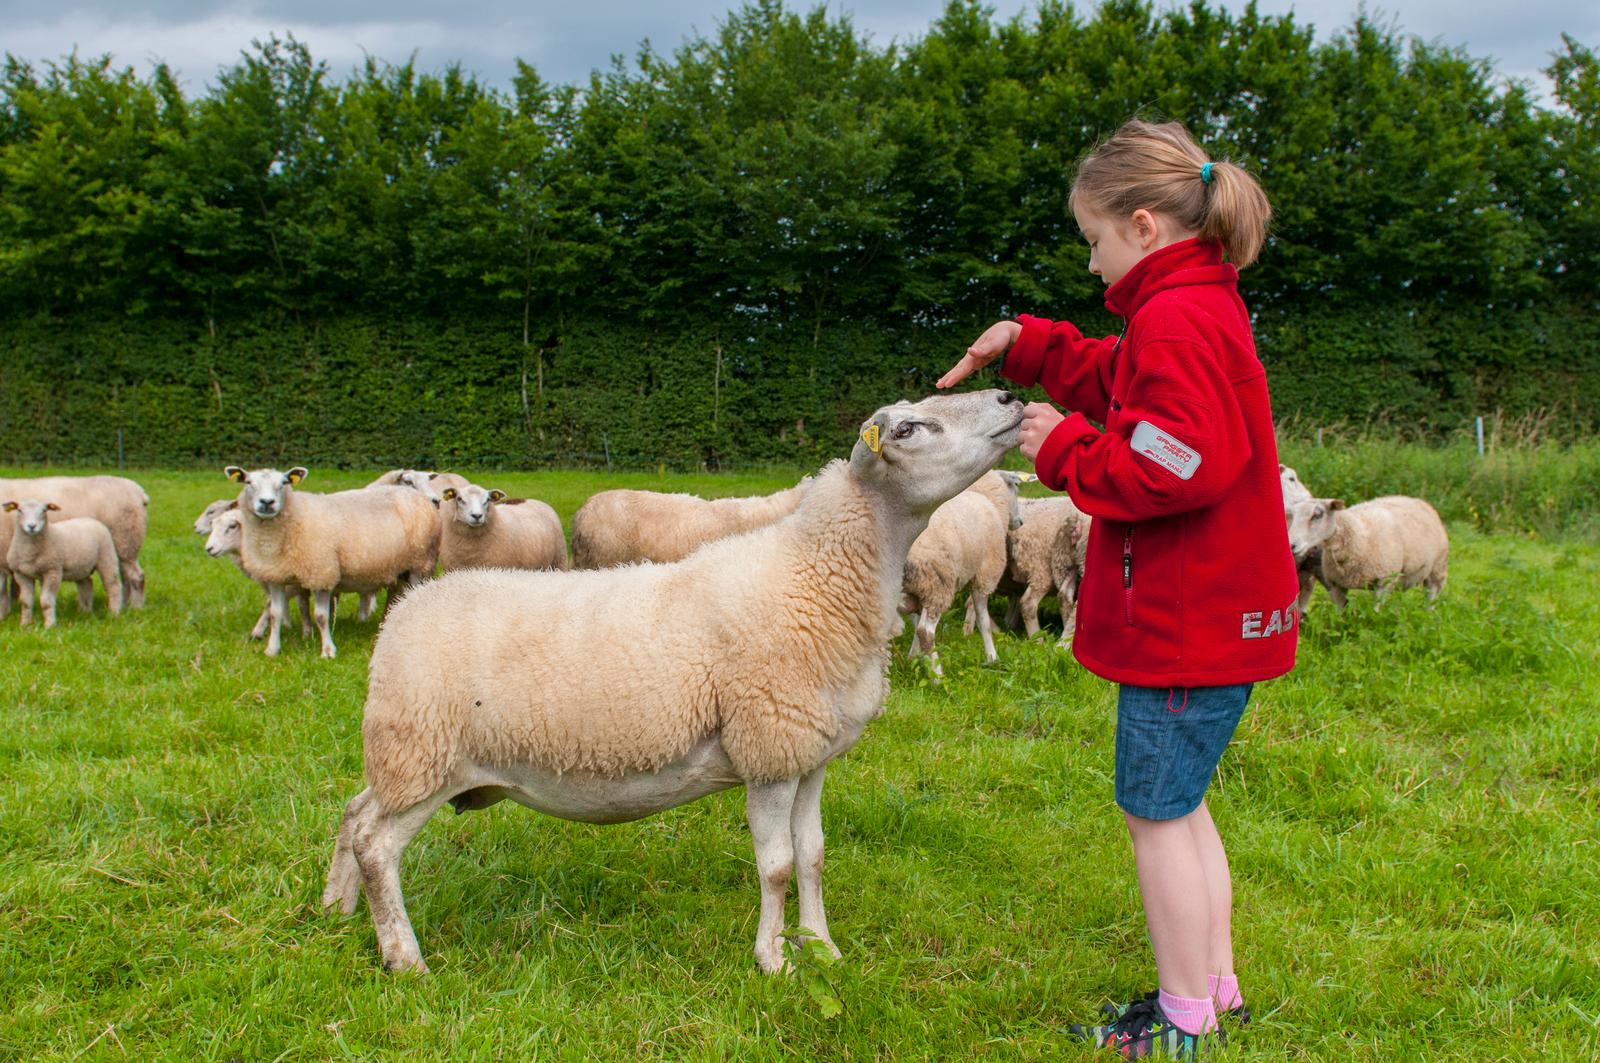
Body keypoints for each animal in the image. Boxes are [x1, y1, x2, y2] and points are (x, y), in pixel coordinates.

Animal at [0, 475, 147, 608]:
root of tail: (139, 493)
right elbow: (13, 588)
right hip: (122, 548)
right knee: (126, 578)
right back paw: (125, 605)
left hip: (126, 541)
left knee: (136, 576)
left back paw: (136, 608)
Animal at [3, 499, 123, 628]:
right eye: (20, 510)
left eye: (44, 511)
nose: (32, 526)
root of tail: (91, 520)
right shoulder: (21, 574)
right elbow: (26, 602)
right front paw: (25, 625)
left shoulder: (53, 571)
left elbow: (46, 601)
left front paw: (49, 626)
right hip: (80, 567)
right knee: (86, 584)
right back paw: (85, 612)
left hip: (107, 557)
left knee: (113, 586)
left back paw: (114, 614)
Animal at [225, 467, 439, 658]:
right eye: (248, 482)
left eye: (284, 482)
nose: (267, 503)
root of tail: (417, 498)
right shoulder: (275, 576)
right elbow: (275, 613)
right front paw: (272, 649)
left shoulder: (322, 574)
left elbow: (321, 616)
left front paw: (328, 650)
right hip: (397, 568)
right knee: (395, 595)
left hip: (420, 565)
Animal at [898, 470, 1022, 678]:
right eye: (1016, 487)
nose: (1020, 522)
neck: (984, 495)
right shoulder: (984, 577)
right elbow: (983, 621)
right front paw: (992, 658)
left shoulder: (917, 593)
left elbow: (914, 626)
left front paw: (913, 658)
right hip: (937, 583)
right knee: (926, 631)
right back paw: (938, 677)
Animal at [1287, 496, 1448, 609]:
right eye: (1293, 517)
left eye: (1317, 515)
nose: (1291, 545)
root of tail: (1419, 501)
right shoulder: (1336, 586)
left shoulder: (1384, 582)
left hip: (1437, 570)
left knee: (1431, 599)